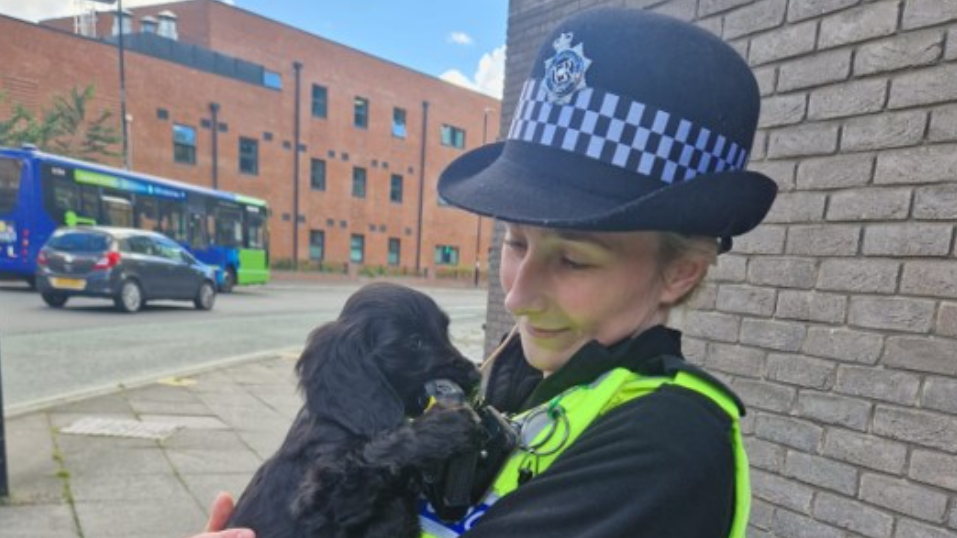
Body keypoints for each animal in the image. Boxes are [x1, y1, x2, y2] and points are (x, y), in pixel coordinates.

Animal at [228, 280, 482, 536]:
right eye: (415, 342)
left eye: (445, 332)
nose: (476, 376)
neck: (349, 423)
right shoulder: (316, 505)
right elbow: (369, 460)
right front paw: (442, 427)